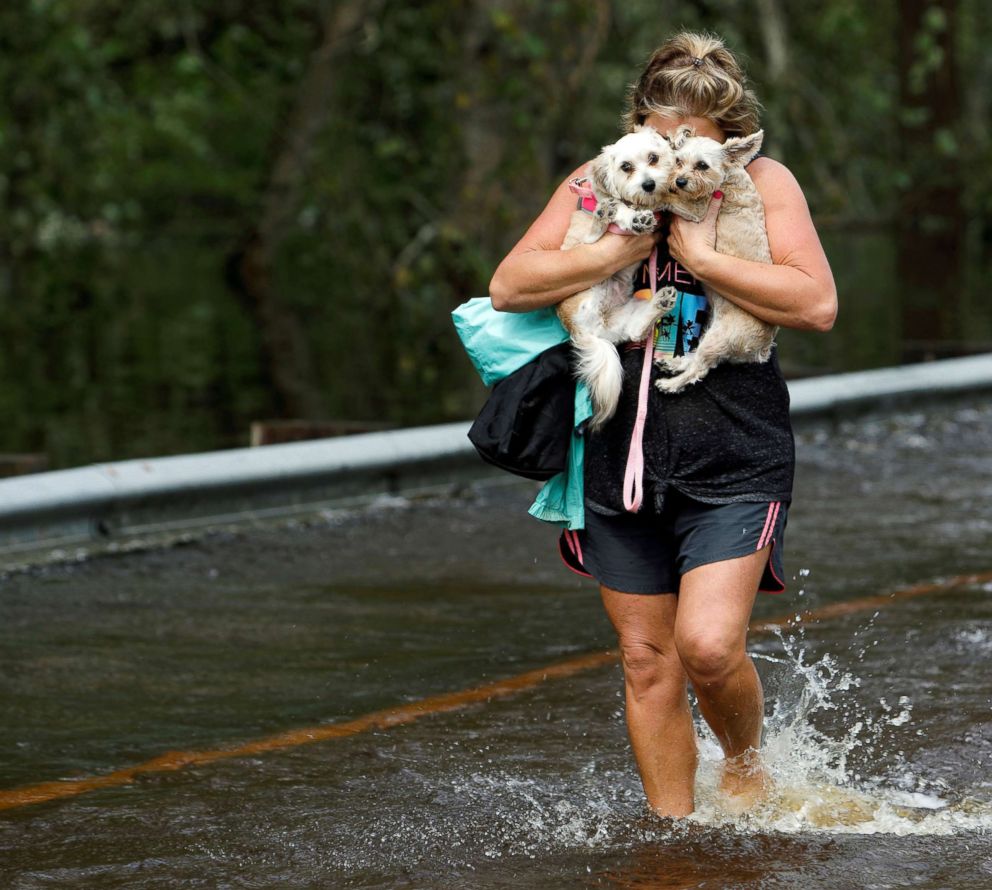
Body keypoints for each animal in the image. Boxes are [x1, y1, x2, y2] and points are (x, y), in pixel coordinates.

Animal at [560, 126, 680, 428]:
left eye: (653, 158)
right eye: (626, 167)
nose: (648, 184)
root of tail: (584, 331)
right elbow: (623, 211)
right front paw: (635, 218)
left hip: (629, 315)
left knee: (637, 329)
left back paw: (662, 301)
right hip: (585, 252)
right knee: (598, 228)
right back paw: (606, 214)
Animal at [656, 125, 780, 392]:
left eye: (702, 165)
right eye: (678, 161)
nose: (679, 181)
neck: (727, 177)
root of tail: (762, 349)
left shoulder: (696, 210)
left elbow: (669, 199)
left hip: (718, 337)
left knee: (699, 368)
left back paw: (671, 384)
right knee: (696, 359)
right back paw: (674, 363)